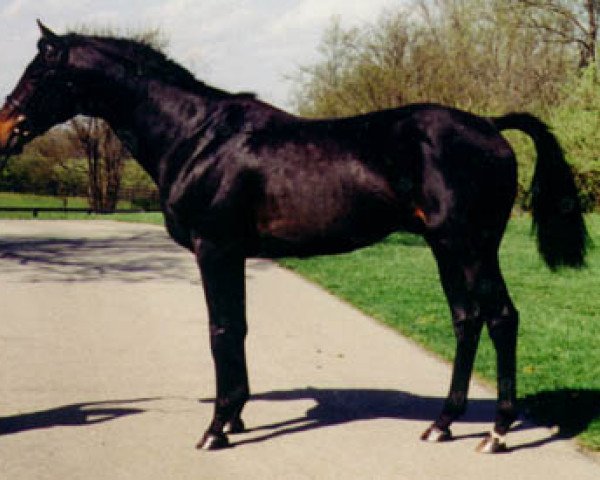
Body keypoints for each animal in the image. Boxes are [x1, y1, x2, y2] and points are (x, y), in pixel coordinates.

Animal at [0, 22, 588, 456]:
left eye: (39, 72)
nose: (5, 128)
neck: (197, 137)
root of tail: (489, 126)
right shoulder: (231, 253)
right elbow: (236, 330)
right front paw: (235, 417)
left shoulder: (215, 249)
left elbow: (220, 330)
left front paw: (216, 429)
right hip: (448, 248)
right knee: (467, 321)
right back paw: (442, 423)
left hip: (469, 246)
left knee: (502, 318)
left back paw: (497, 433)